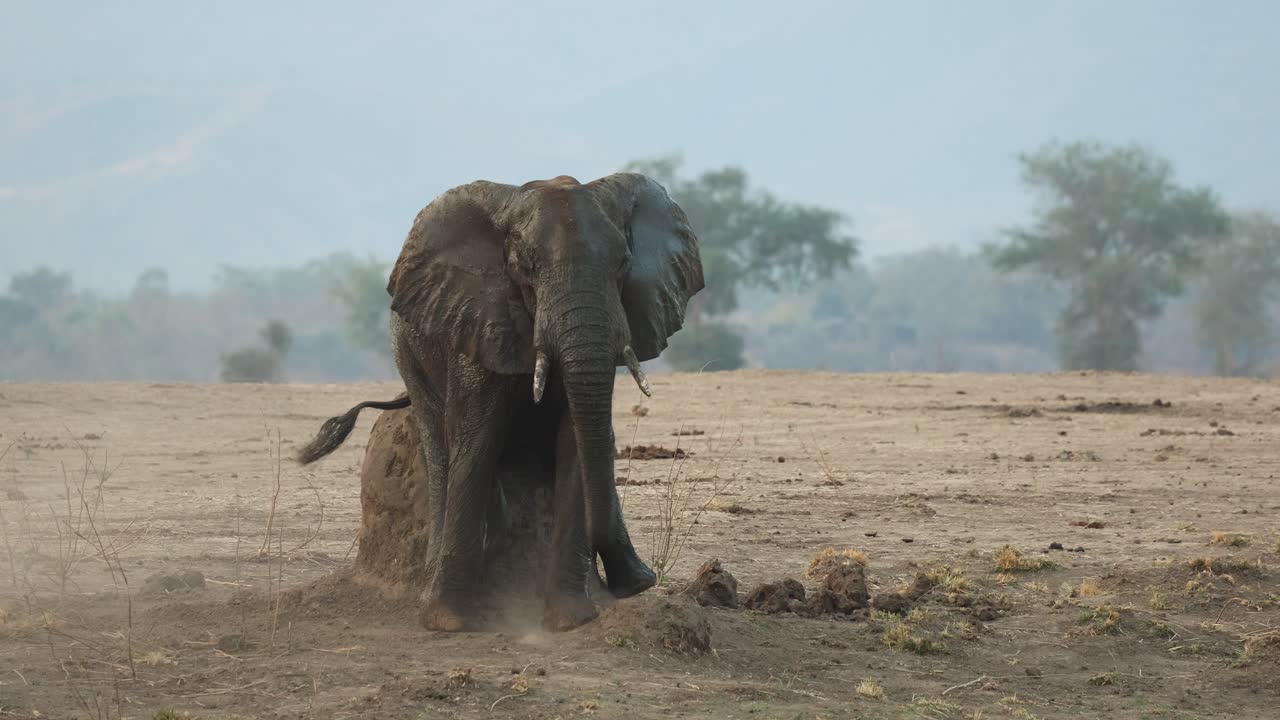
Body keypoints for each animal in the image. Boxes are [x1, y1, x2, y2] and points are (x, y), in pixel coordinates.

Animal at [297, 173, 704, 631]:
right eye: (526, 267)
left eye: (623, 264)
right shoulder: (479, 318)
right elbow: (477, 441)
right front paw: (447, 622)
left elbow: (575, 441)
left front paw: (570, 620)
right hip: (405, 349)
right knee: (437, 438)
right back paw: (432, 576)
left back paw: (635, 581)